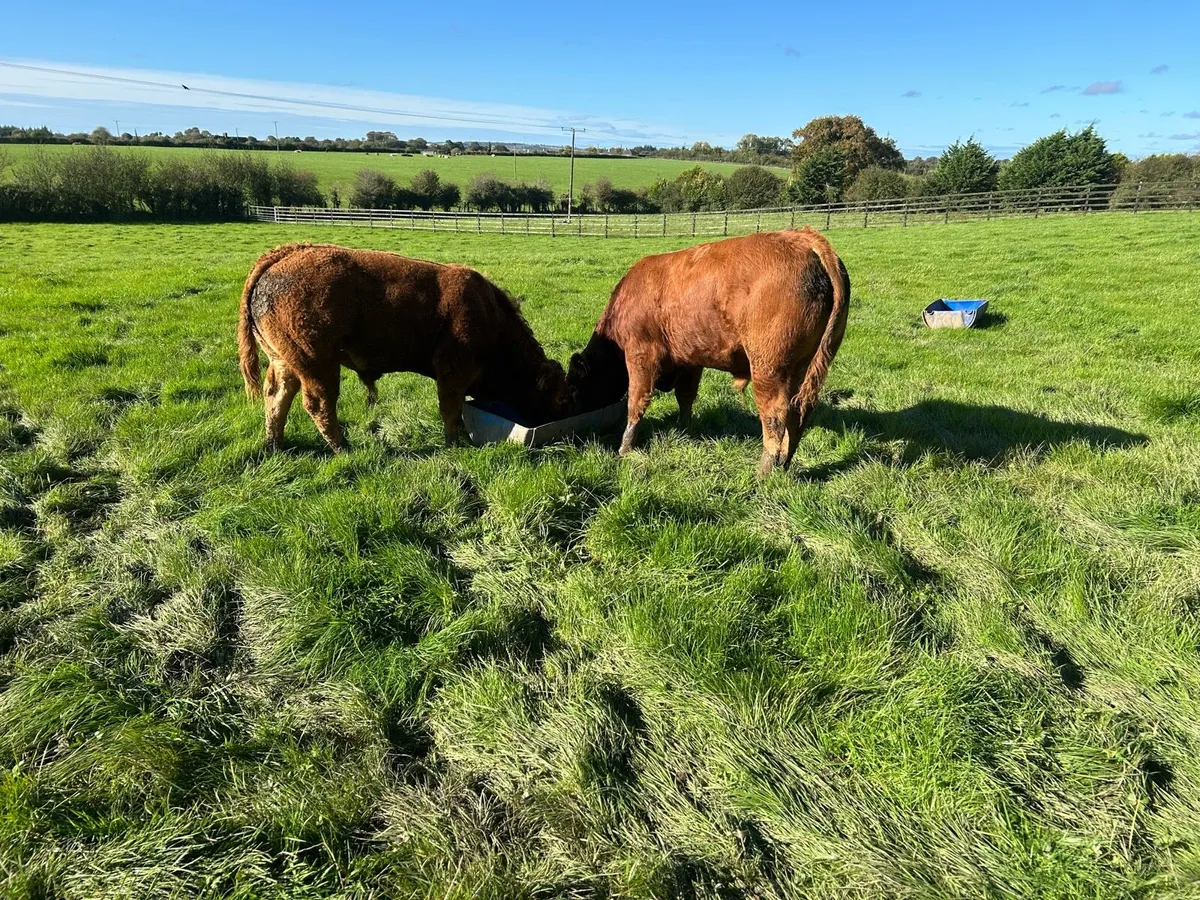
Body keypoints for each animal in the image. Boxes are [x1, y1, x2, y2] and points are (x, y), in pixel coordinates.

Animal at [238, 243, 569, 452]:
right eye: (558, 395)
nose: (559, 420)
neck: (491, 316)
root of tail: (284, 254)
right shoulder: (452, 372)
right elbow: (451, 409)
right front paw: (454, 443)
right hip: (317, 364)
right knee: (319, 404)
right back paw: (343, 448)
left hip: (284, 362)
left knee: (277, 397)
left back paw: (275, 445)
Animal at [567, 227, 849, 475]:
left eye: (574, 389)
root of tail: (804, 238)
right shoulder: (690, 361)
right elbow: (685, 397)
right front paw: (684, 430)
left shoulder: (641, 356)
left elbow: (636, 401)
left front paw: (625, 447)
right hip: (804, 370)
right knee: (800, 413)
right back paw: (785, 462)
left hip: (769, 368)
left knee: (776, 416)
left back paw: (764, 470)